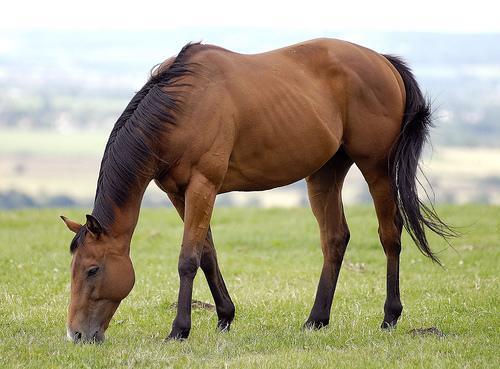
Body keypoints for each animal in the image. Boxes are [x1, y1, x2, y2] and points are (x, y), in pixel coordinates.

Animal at [59, 38, 454, 342]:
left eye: (92, 270)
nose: (76, 335)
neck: (182, 106)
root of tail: (383, 61)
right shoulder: (178, 192)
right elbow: (207, 253)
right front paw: (224, 315)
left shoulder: (203, 185)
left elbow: (188, 259)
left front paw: (180, 329)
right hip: (325, 173)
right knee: (335, 238)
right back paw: (316, 319)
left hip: (376, 169)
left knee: (390, 234)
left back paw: (390, 316)